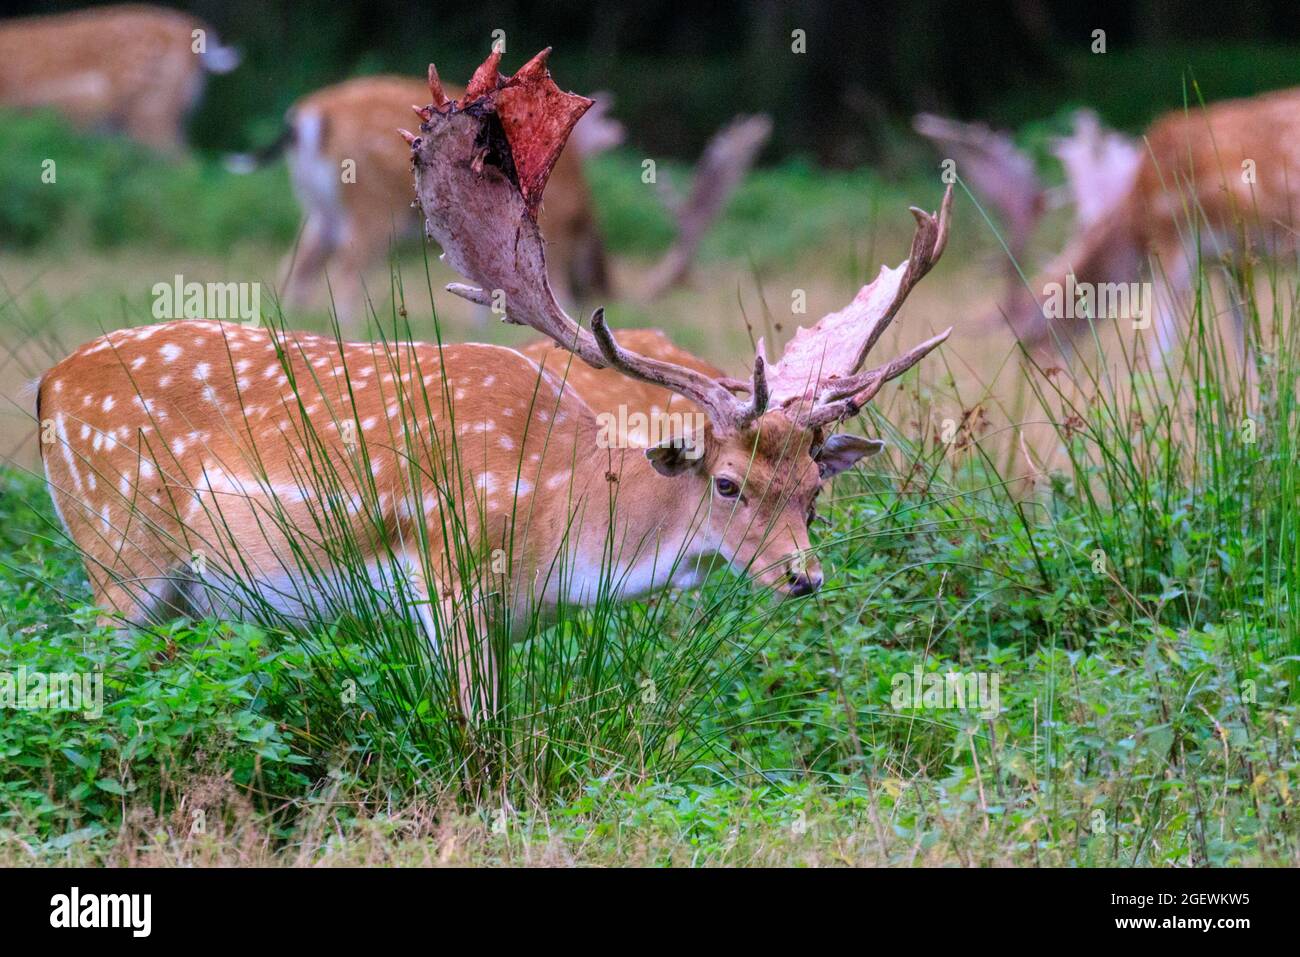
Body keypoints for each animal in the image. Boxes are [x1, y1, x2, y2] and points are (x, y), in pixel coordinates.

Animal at [40, 48, 951, 712]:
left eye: (814, 489)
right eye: (726, 482)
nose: (805, 575)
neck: (559, 519)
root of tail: (48, 384)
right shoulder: (451, 574)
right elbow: (477, 721)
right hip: (118, 552)